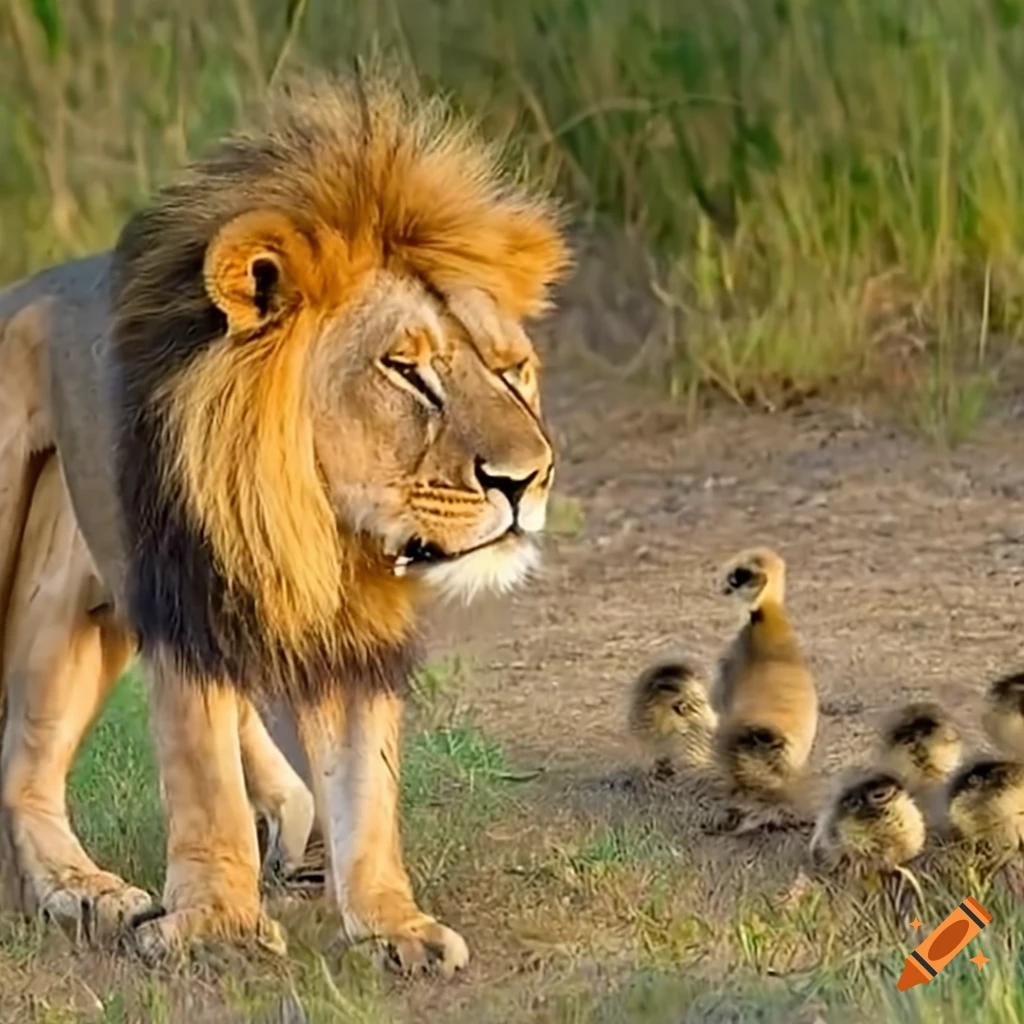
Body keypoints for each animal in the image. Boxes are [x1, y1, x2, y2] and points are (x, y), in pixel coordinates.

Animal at [0, 68, 569, 976]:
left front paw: (391, 925)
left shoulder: (361, 635)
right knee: (22, 766)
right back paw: (85, 890)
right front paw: (219, 928)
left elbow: (366, 786)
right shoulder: (183, 601)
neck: (316, 518)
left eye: (513, 371)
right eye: (407, 371)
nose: (525, 480)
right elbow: (203, 778)